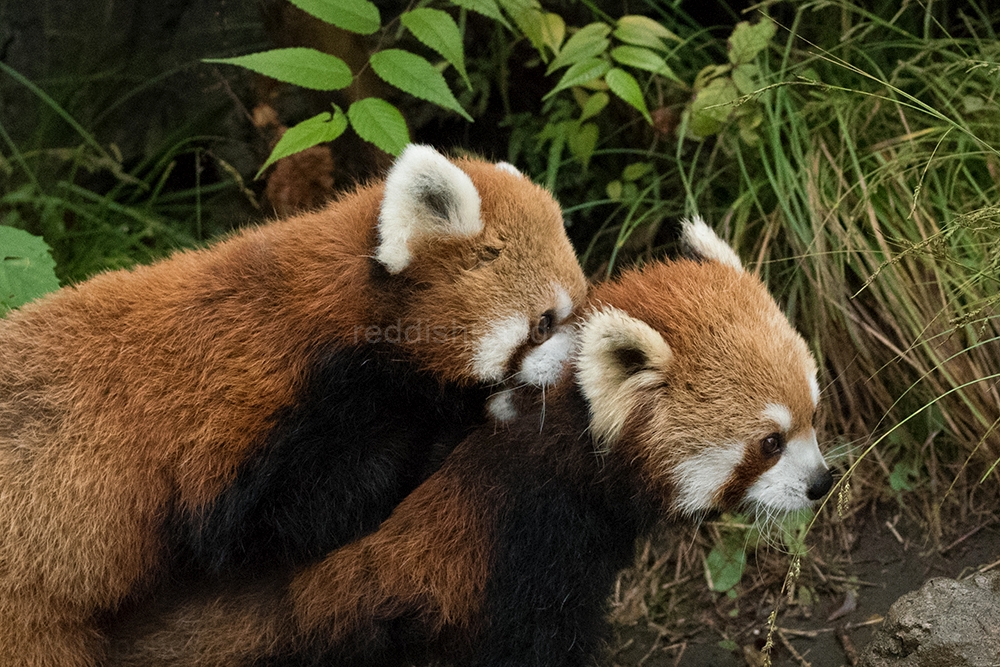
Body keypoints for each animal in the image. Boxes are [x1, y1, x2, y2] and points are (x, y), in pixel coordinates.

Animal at [0, 146, 588, 667]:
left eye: (579, 306)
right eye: (544, 322)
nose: (583, 354)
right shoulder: (237, 409)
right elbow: (283, 518)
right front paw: (454, 420)